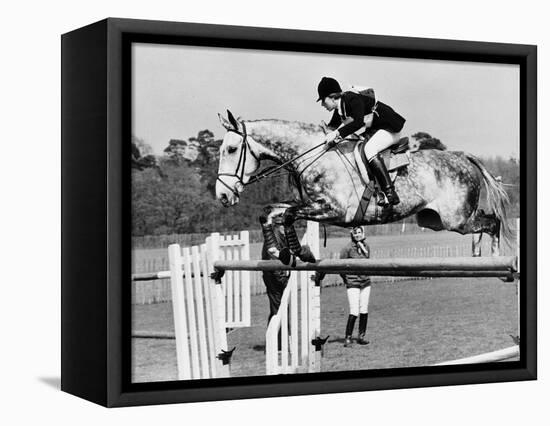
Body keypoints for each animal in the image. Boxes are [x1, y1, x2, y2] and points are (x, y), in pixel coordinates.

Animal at [216, 110, 512, 262]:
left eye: (231, 149)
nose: (222, 196)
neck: (313, 154)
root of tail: (461, 156)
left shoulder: (334, 211)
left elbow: (288, 215)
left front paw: (300, 252)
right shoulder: (309, 204)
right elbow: (269, 212)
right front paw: (278, 250)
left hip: (456, 219)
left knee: (492, 223)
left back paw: (496, 259)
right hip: (434, 220)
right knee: (485, 224)